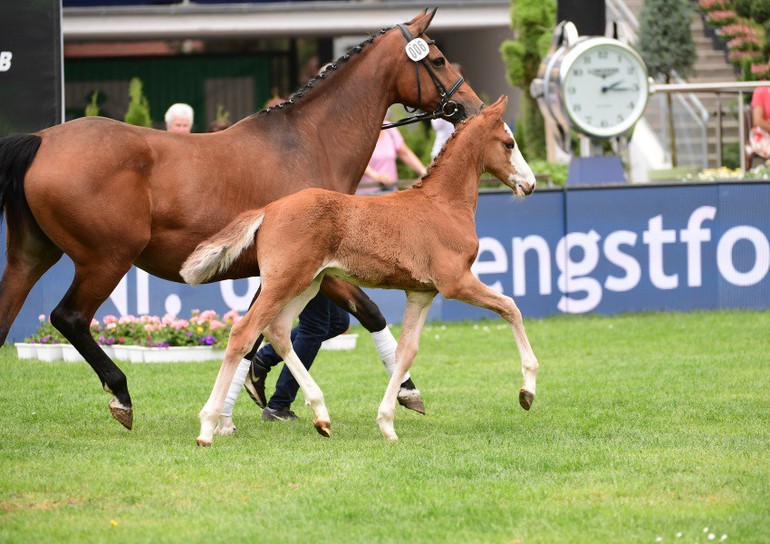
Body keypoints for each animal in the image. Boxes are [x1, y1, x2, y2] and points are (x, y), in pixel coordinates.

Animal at [182, 95, 536, 444]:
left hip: (307, 283)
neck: (443, 205)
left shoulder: (421, 292)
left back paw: (321, 415)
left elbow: (406, 351)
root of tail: (269, 209)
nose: (530, 184)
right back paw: (208, 427)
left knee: (278, 330)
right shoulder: (456, 282)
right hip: (284, 282)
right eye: (509, 143)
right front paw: (527, 392)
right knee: (244, 332)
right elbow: (511, 307)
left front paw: (387, 422)